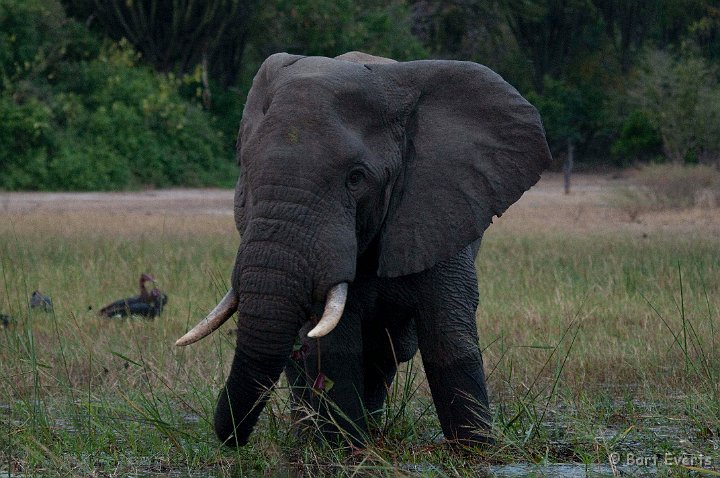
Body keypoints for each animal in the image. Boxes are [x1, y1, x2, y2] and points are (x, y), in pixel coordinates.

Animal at [176, 51, 552, 448]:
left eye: (356, 178)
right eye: (245, 171)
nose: (230, 438)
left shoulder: (440, 205)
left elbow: (449, 337)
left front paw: (475, 451)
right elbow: (336, 346)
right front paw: (341, 449)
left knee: (388, 350)